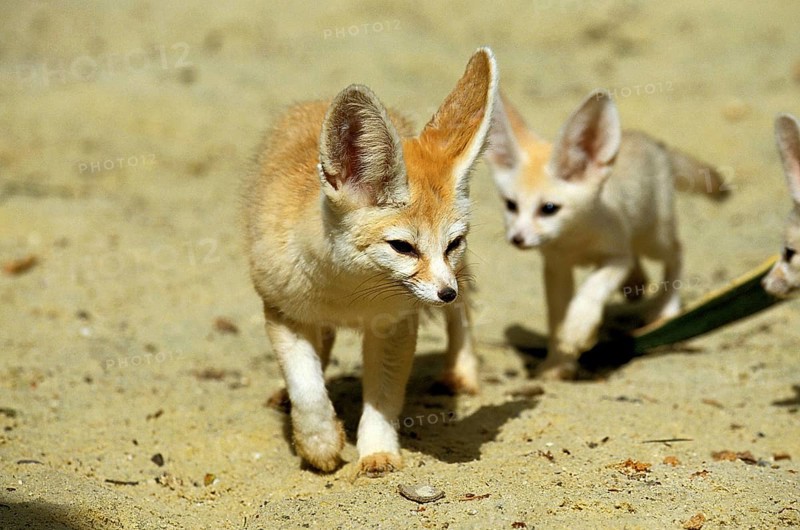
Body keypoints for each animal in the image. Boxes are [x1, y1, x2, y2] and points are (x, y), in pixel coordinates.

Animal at [243, 48, 497, 476]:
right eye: (402, 247)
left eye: (453, 243)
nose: (445, 292)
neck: (348, 292)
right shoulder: (282, 312)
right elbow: (307, 387)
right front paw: (319, 443)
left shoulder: (396, 324)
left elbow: (383, 396)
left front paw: (377, 452)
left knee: (462, 314)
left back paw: (462, 371)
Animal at [485, 90, 728, 379]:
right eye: (511, 205)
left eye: (549, 209)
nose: (517, 239)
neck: (574, 242)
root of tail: (652, 141)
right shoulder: (557, 268)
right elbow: (556, 318)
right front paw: (558, 363)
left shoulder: (616, 257)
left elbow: (592, 288)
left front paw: (578, 329)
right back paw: (636, 283)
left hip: (653, 239)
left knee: (677, 253)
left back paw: (666, 306)